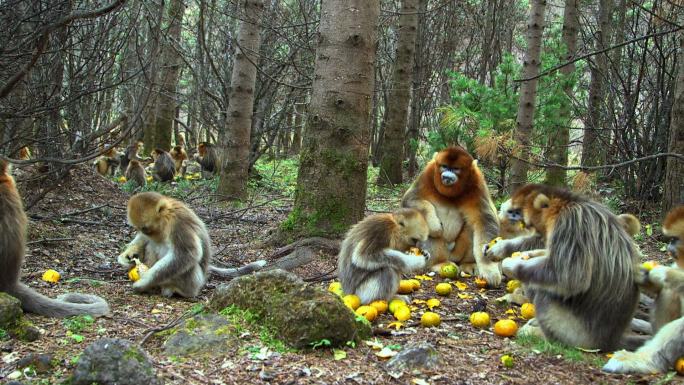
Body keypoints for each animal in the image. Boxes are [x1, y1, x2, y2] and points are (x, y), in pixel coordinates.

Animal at [117, 192, 268, 296]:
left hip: (194, 282)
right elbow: (145, 240)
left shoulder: (179, 224)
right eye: (139, 228)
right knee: (152, 245)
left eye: (145, 228)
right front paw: (127, 255)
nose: (145, 232)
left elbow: (188, 254)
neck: (166, 218)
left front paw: (144, 281)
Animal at [400, 146, 502, 284]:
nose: (447, 174)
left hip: (457, 253)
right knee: (430, 234)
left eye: (455, 169)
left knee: (471, 228)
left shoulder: (477, 182)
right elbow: (409, 200)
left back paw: (467, 263)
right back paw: (439, 263)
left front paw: (490, 270)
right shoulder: (427, 173)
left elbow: (485, 222)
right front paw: (435, 225)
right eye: (444, 166)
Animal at [496, 184, 640, 350]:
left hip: (577, 335)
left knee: (544, 292)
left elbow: (570, 278)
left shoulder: (570, 224)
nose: (538, 235)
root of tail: (610, 341)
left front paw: (511, 264)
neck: (567, 204)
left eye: (529, 223)